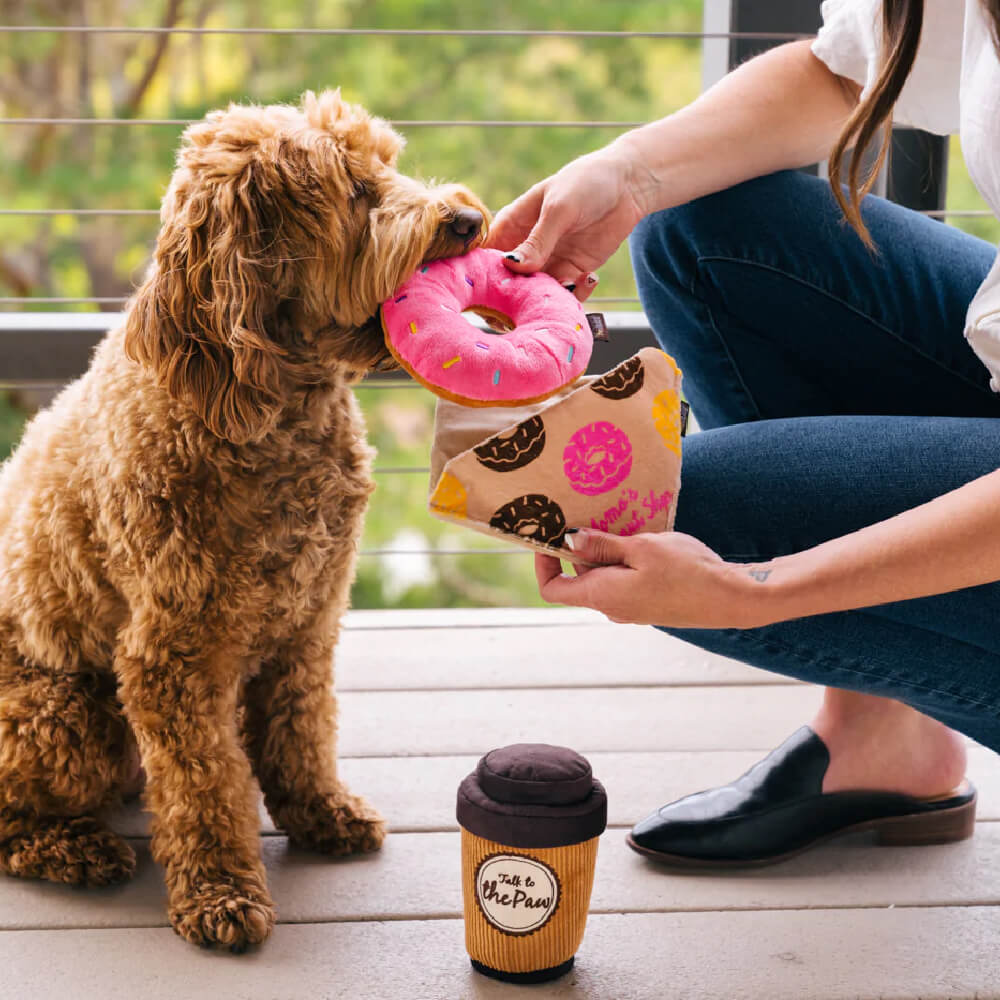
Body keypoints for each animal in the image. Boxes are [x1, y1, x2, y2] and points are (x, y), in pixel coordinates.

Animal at [0, 90, 488, 948]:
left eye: (389, 162)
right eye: (353, 191)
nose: (466, 219)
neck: (272, 409)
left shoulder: (308, 619)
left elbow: (301, 730)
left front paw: (319, 812)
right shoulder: (173, 657)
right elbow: (207, 785)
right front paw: (220, 891)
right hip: (68, 714)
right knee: (7, 821)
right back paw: (74, 849)